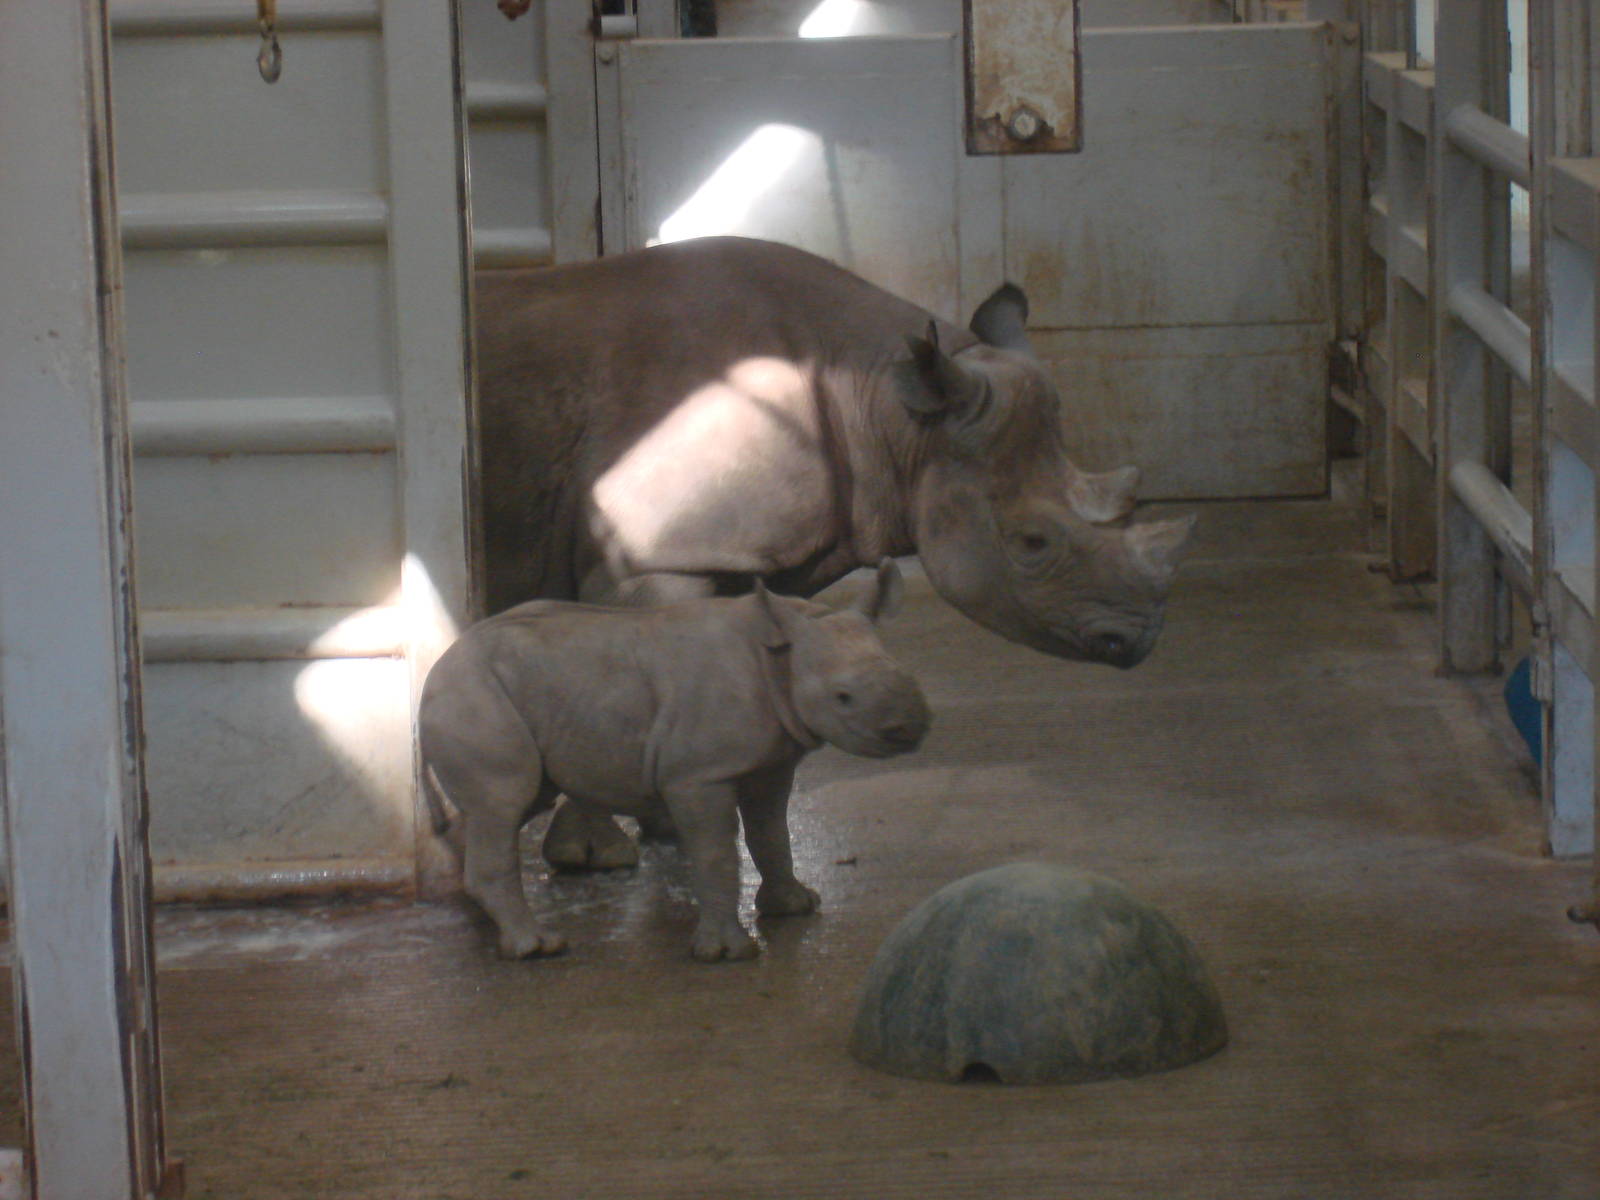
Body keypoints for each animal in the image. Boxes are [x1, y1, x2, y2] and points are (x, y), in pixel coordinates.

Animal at [420, 560, 928, 962]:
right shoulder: (700, 775)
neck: (782, 654)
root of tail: (434, 674)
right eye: (842, 698)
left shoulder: (772, 762)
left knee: (509, 806)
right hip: (473, 694)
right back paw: (538, 947)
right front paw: (727, 953)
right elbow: (717, 851)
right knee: (505, 801)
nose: (908, 728)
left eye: (906, 673)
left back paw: (491, 923)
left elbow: (771, 834)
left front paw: (795, 907)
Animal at [476, 235, 1194, 867]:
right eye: (1032, 543)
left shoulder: (737, 550)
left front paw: (667, 823)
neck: (889, 412)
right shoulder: (649, 553)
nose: (1140, 639)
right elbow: (605, 681)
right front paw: (593, 857)